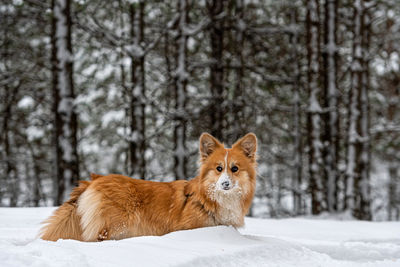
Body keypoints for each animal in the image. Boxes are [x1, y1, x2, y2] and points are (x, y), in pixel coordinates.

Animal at [40, 134, 258, 243]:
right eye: (219, 168)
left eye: (235, 169)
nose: (225, 184)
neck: (211, 199)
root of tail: (94, 180)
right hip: (114, 227)